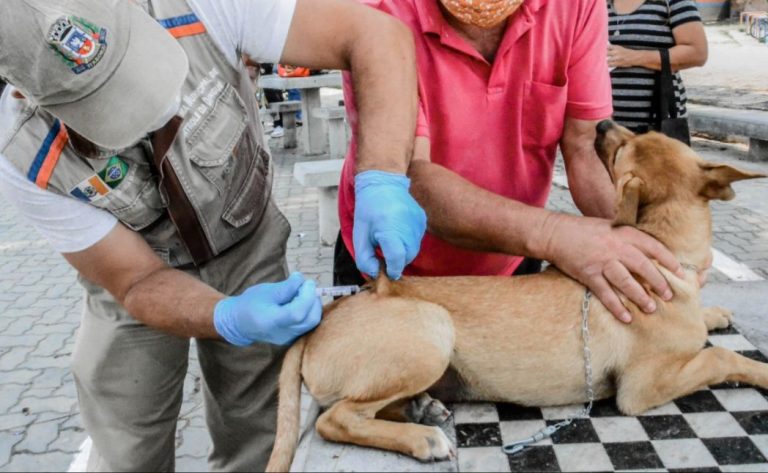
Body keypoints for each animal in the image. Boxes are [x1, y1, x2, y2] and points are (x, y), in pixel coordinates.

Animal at [268, 123, 764, 470]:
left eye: (645, 134)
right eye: (625, 148)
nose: (602, 124)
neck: (666, 255)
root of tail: (330, 311)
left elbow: (707, 329)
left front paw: (713, 314)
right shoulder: (642, 389)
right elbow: (720, 358)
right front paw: (757, 370)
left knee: (364, 409)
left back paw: (421, 408)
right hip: (431, 330)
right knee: (336, 419)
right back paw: (421, 438)